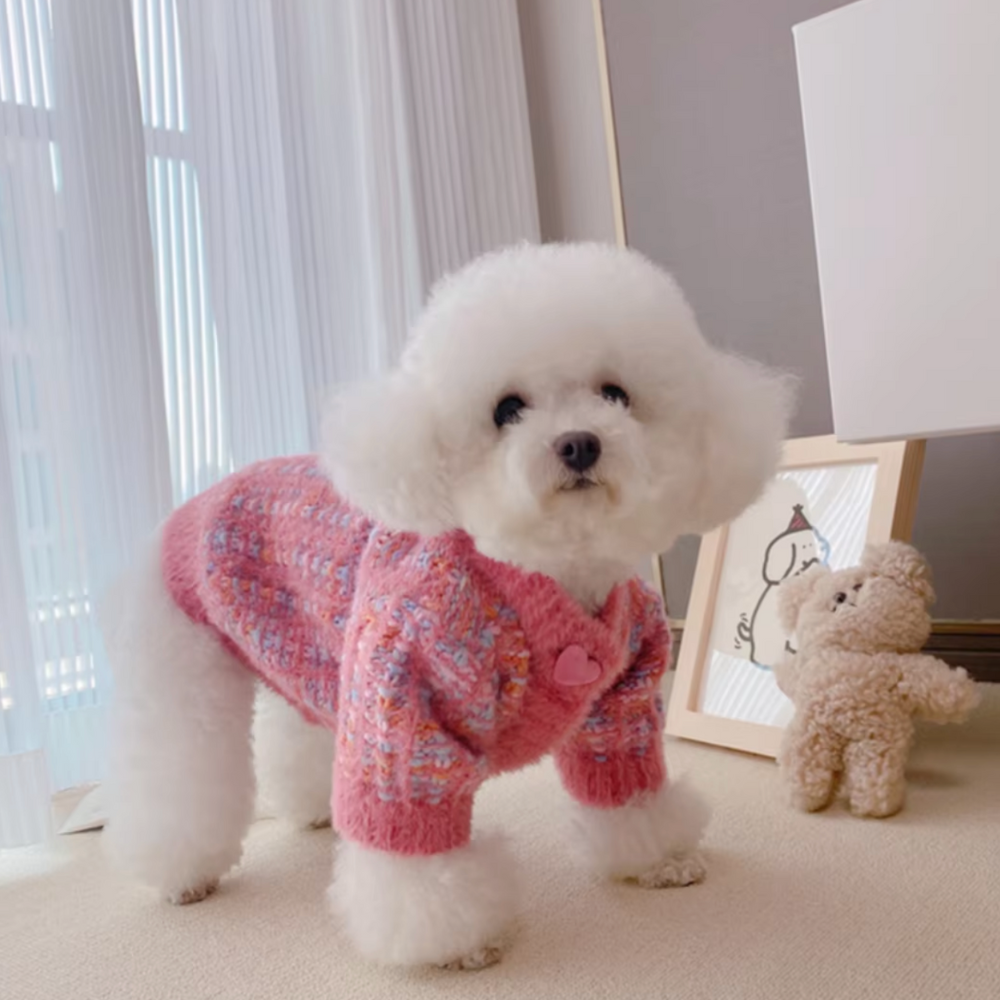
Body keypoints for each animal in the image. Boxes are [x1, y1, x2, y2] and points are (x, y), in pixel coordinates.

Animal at [101, 242, 788, 968]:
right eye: (507, 409)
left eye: (615, 394)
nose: (579, 442)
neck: (539, 568)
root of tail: (187, 509)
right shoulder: (403, 705)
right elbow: (411, 840)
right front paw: (449, 938)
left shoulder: (622, 696)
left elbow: (623, 782)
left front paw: (655, 856)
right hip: (183, 674)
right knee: (176, 773)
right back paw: (182, 872)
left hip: (315, 652)